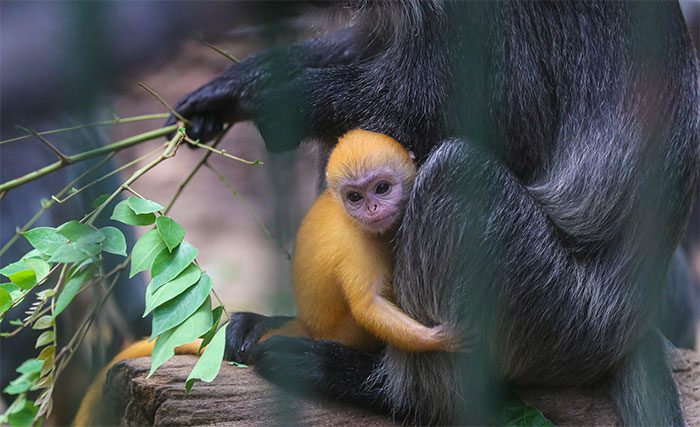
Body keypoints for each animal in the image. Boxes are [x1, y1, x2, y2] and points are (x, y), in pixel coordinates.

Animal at [262, 130, 460, 354]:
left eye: (382, 188)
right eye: (355, 197)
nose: (372, 208)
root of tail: (306, 325)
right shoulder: (355, 243)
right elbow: (367, 304)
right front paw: (437, 339)